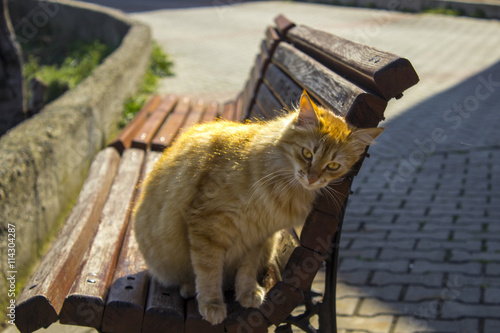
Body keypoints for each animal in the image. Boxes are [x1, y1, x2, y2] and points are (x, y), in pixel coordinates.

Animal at [133, 89, 382, 322]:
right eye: (307, 153)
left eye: (333, 166)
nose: (312, 179)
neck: (280, 189)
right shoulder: (207, 225)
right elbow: (208, 271)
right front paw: (212, 303)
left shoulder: (257, 235)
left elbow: (247, 269)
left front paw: (247, 292)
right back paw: (189, 288)